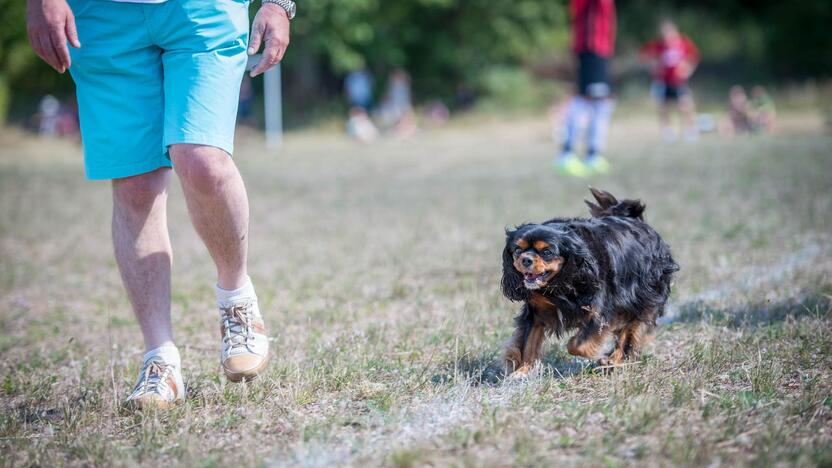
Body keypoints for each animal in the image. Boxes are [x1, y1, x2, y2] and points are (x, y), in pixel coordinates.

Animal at [500, 188, 676, 374]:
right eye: (517, 250)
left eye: (547, 252)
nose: (526, 259)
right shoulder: (536, 313)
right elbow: (528, 344)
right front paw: (522, 372)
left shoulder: (599, 309)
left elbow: (577, 345)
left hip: (643, 297)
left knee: (631, 330)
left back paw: (613, 360)